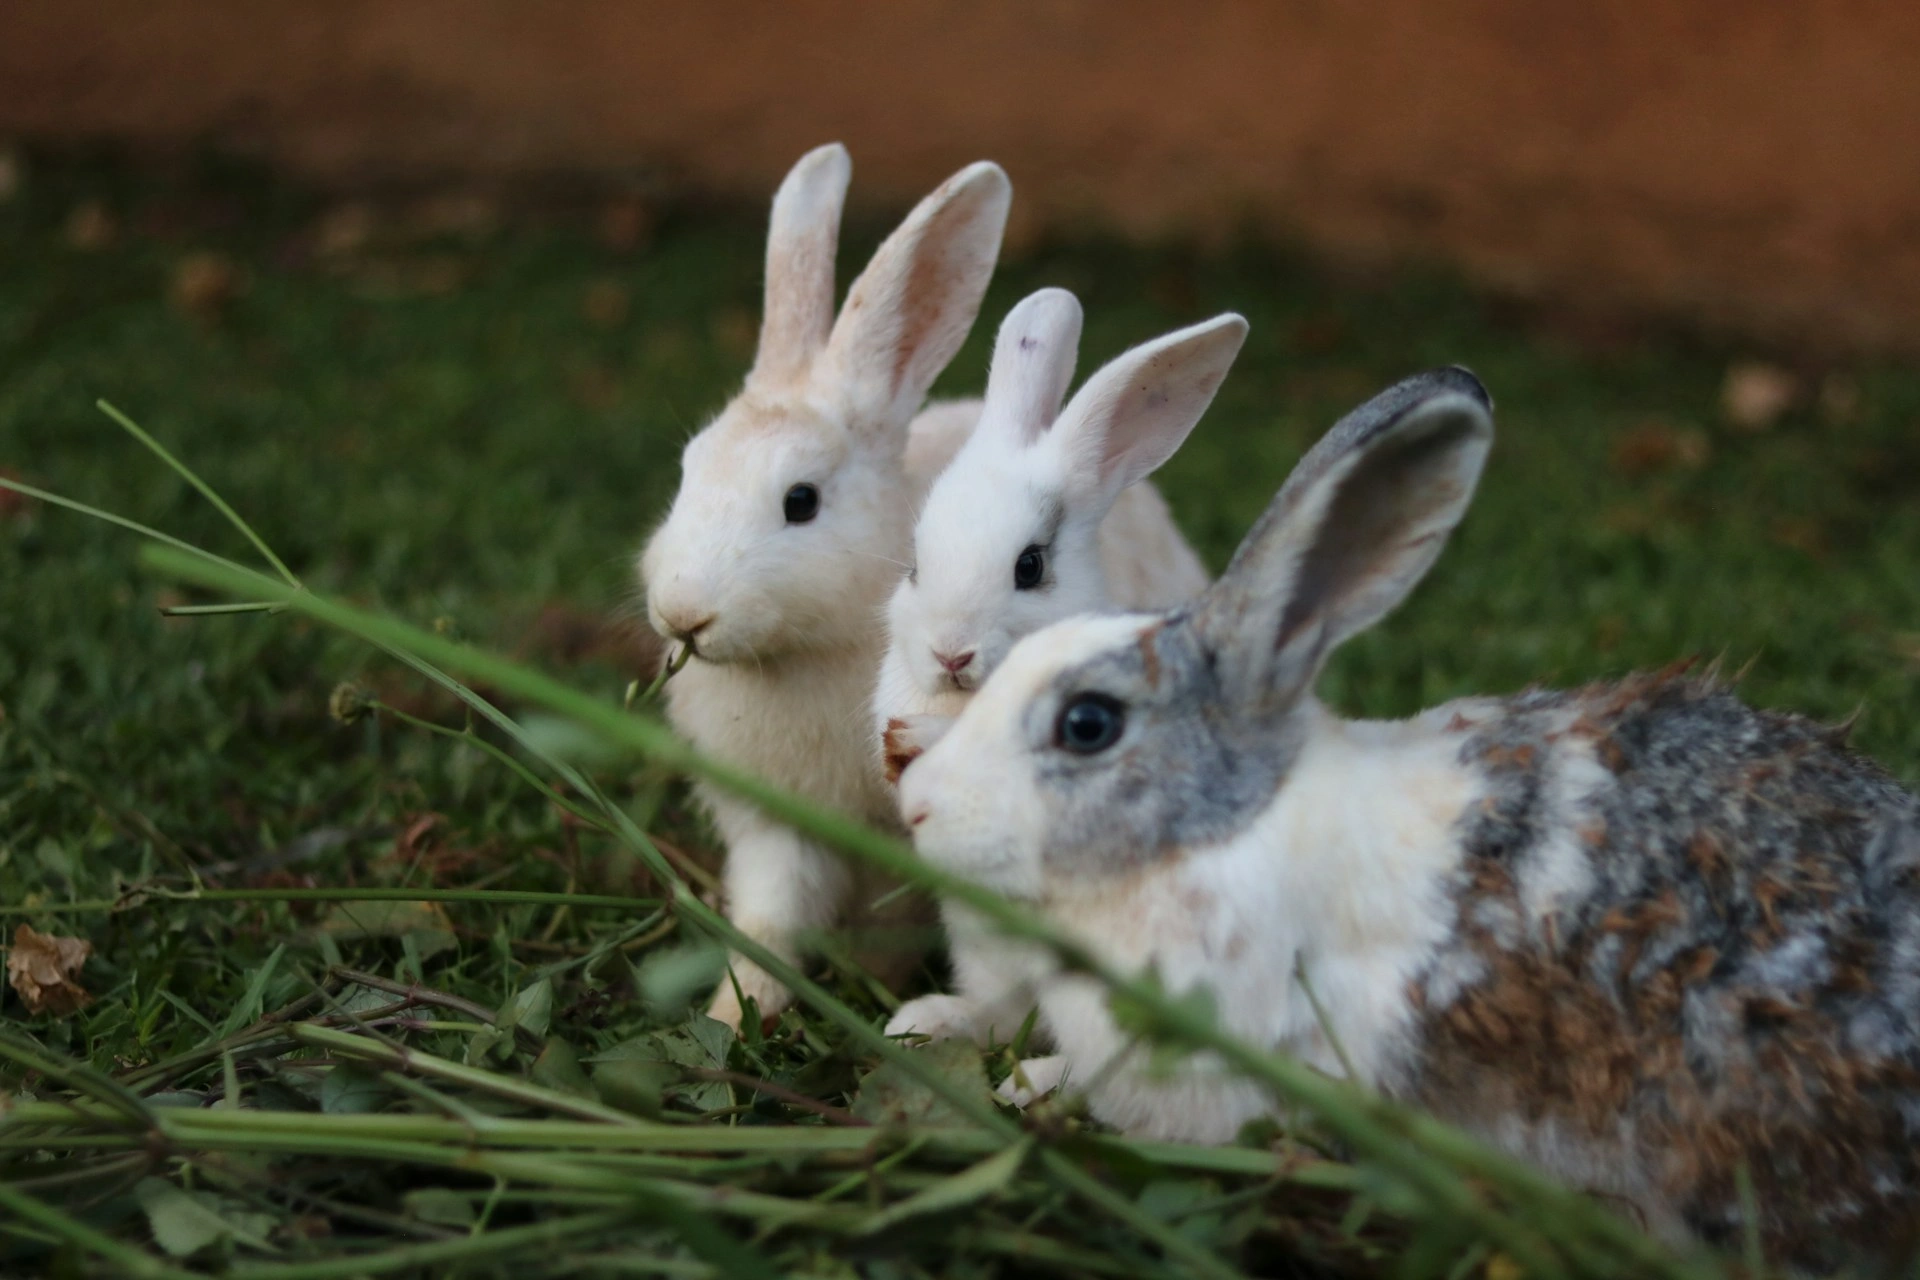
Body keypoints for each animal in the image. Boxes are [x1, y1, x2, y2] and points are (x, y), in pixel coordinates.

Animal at [639, 142, 1011, 1028]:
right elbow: (771, 919)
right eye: (688, 471)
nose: (683, 614)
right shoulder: (776, 830)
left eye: (801, 502)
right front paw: (733, 1012)